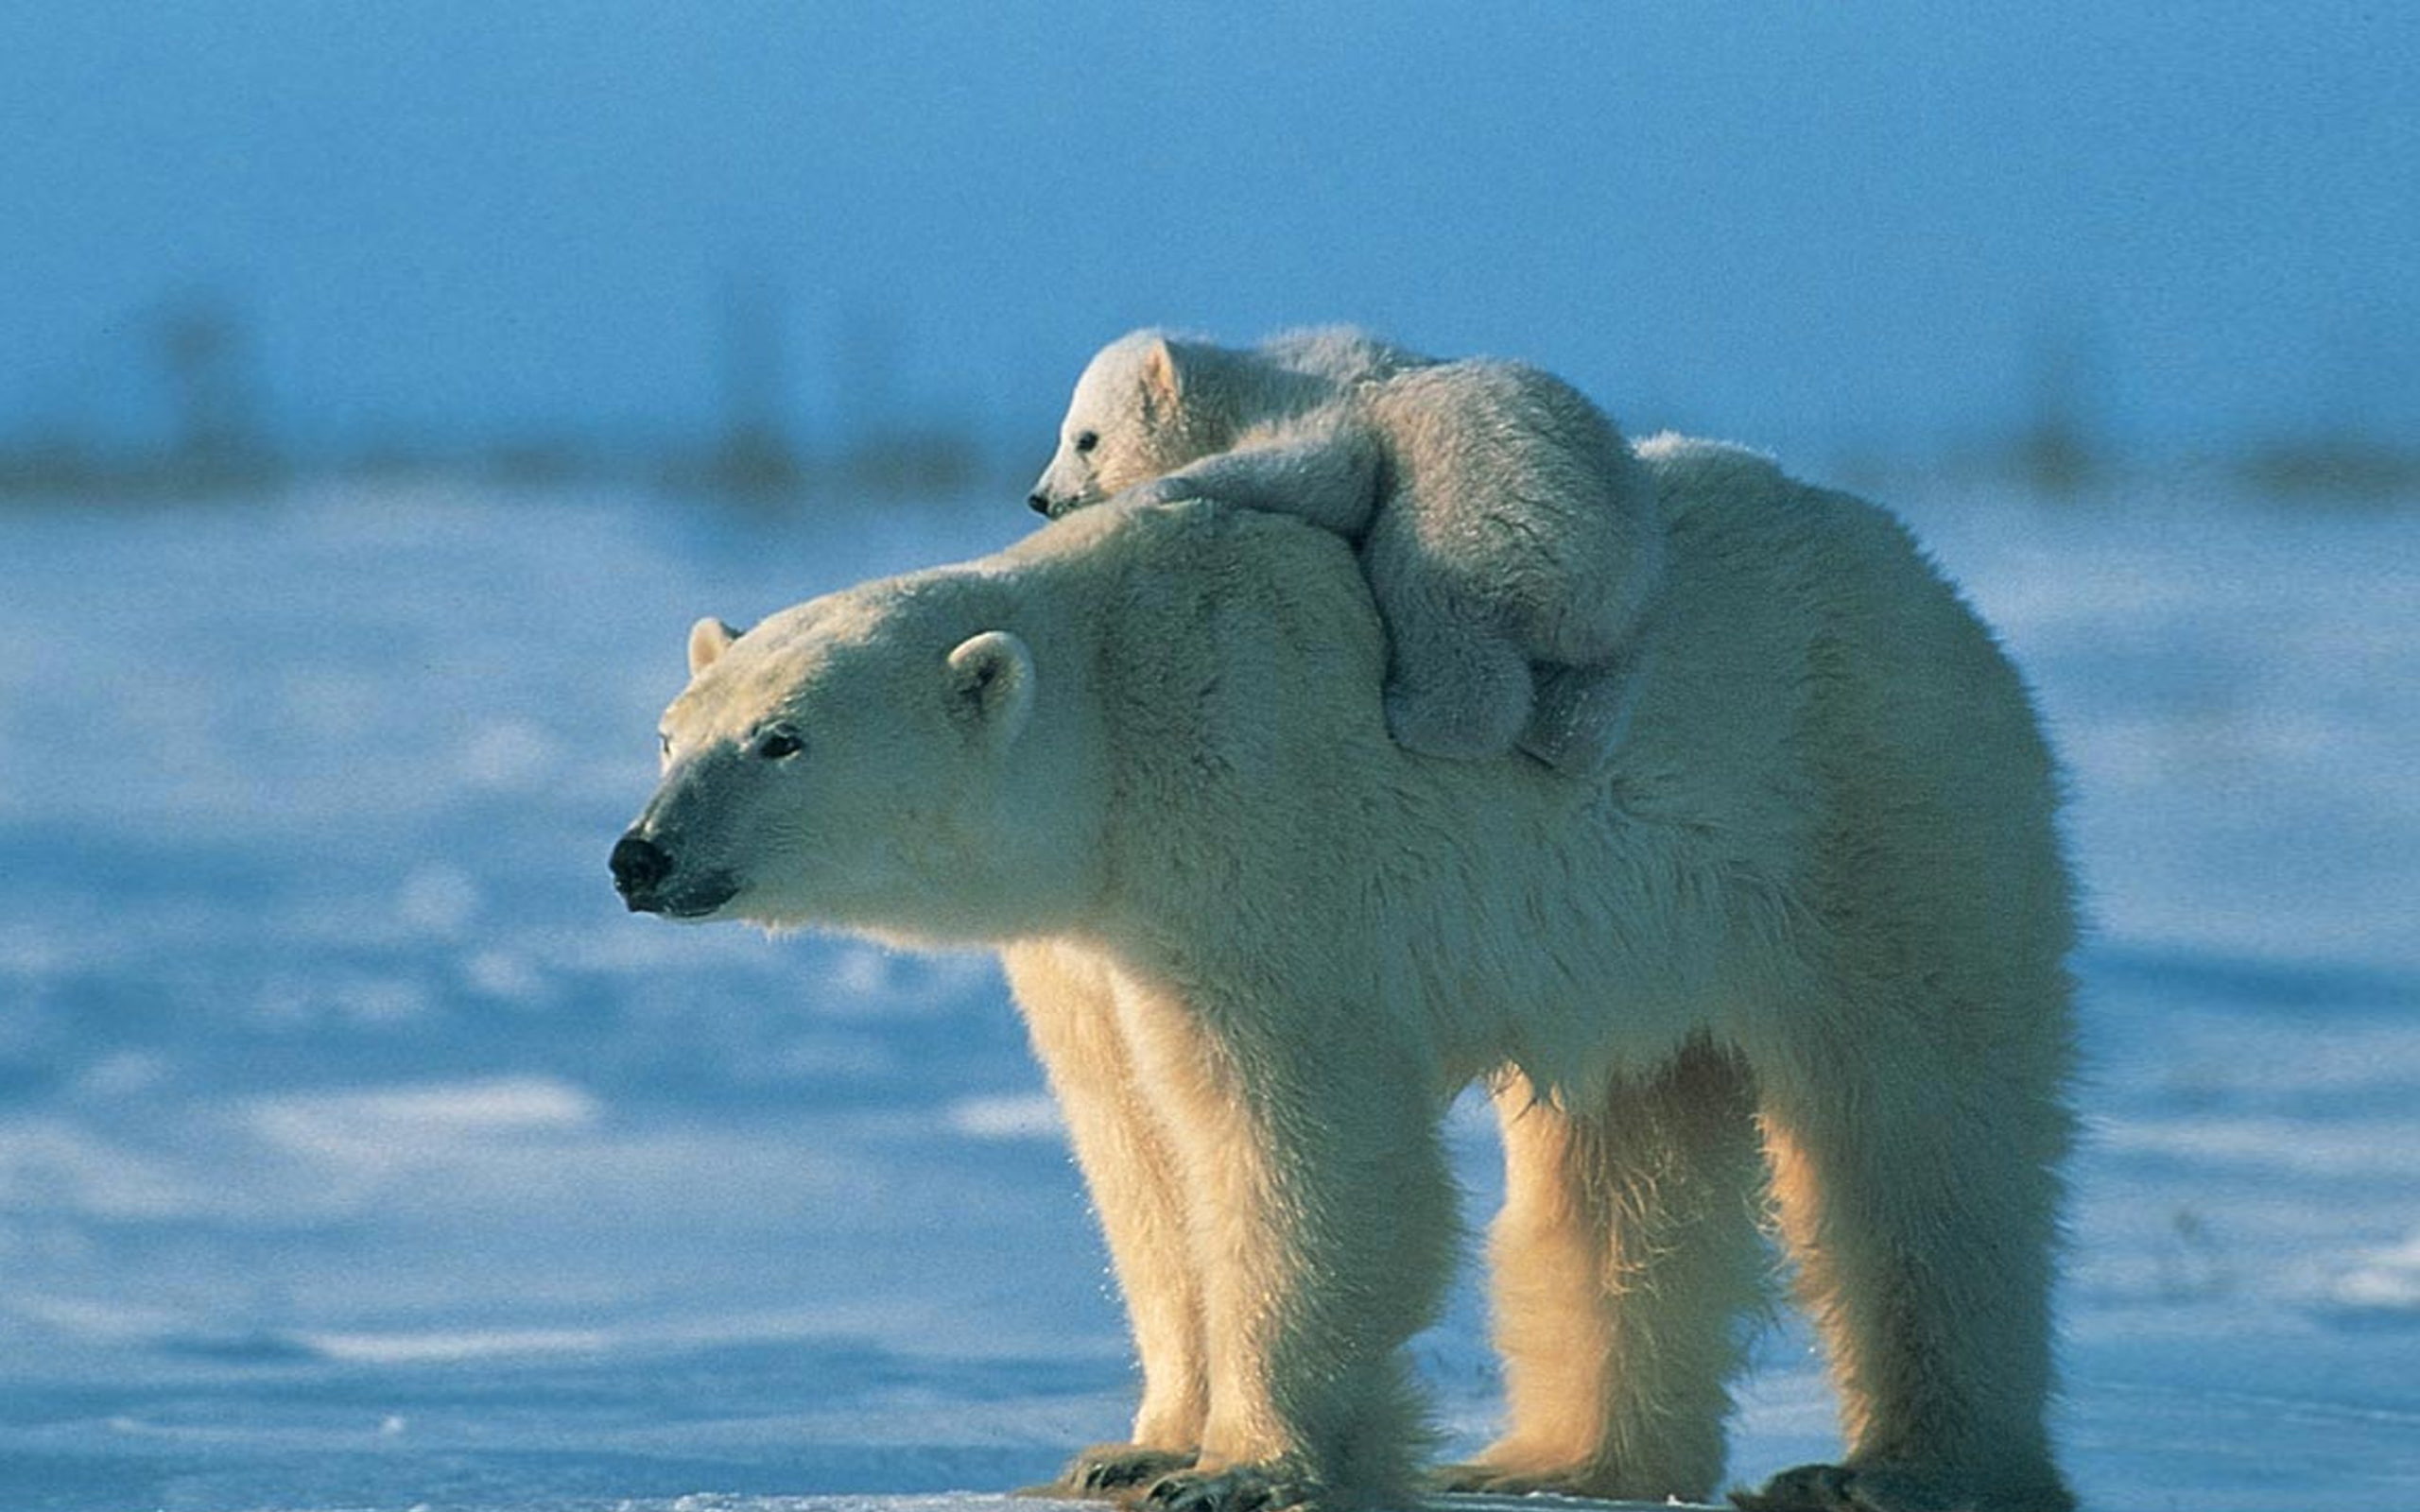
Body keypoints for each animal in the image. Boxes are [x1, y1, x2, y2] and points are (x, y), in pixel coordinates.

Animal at [613, 438, 2079, 1512]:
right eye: (673, 731)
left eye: (783, 739)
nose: (641, 855)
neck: (1117, 722)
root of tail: (1928, 578)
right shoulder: (1095, 948)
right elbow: (1139, 1155)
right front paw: (1134, 1447)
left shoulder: (1257, 839)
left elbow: (1294, 1138)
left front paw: (1246, 1470)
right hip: (1638, 943)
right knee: (1623, 1171)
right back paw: (1552, 1461)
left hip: (1872, 814)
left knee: (1918, 1138)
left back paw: (1896, 1469)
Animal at [1026, 327, 1663, 778]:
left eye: (1086, 438)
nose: (1040, 498)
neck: (1251, 382)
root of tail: (1589, 594)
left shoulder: (1317, 405)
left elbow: (1331, 471)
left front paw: (1157, 488)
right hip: (1630, 600)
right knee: (1596, 691)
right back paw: (1559, 737)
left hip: (1479, 518)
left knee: (1431, 601)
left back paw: (1411, 713)